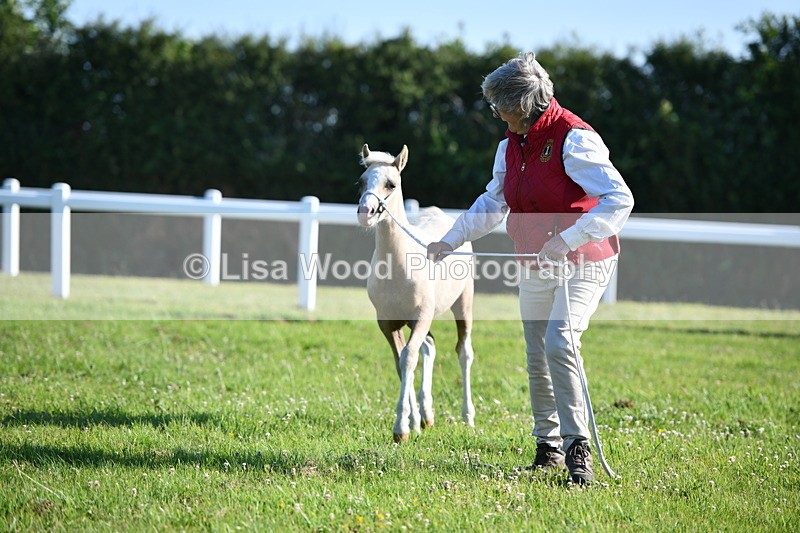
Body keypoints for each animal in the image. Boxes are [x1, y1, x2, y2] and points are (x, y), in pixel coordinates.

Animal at [356, 143, 476, 443]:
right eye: (361, 182)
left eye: (391, 184)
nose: (365, 212)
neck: (398, 266)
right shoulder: (388, 323)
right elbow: (400, 363)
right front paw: (411, 422)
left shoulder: (421, 317)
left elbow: (408, 358)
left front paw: (400, 429)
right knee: (430, 347)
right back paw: (426, 416)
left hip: (463, 304)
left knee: (464, 352)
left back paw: (468, 417)